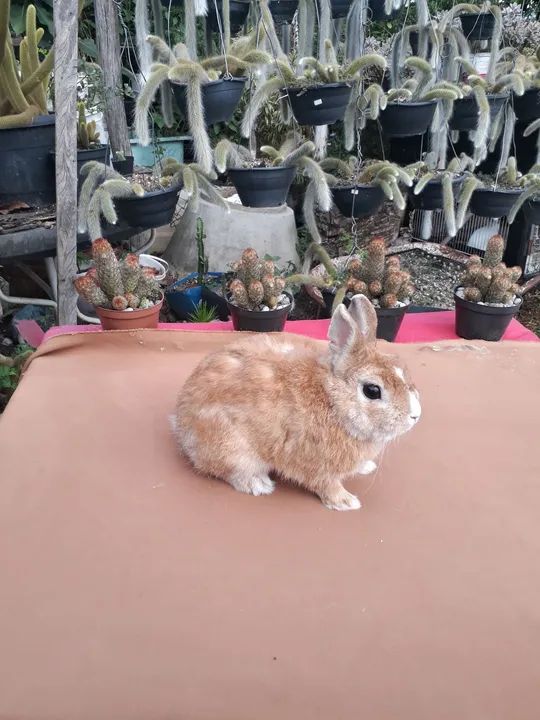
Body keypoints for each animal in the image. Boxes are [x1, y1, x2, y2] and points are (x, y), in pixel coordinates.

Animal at [172, 295, 421, 511]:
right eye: (372, 391)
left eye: (400, 366)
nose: (415, 416)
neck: (332, 401)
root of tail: (180, 423)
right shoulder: (317, 466)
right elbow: (326, 485)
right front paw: (346, 502)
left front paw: (366, 467)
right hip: (233, 449)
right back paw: (259, 484)